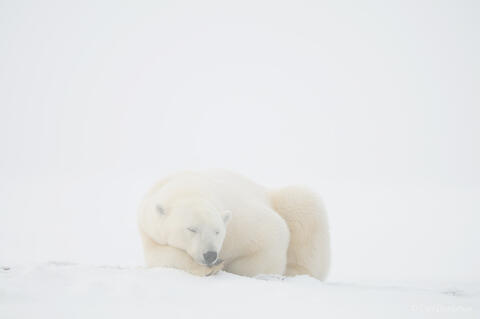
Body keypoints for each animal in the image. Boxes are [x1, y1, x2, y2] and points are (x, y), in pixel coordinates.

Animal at [137, 171, 328, 282]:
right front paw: (206, 269)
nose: (210, 255)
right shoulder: (150, 230)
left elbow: (274, 232)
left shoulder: (238, 222)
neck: (190, 189)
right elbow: (161, 256)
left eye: (217, 231)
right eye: (192, 229)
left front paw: (228, 266)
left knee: (303, 202)